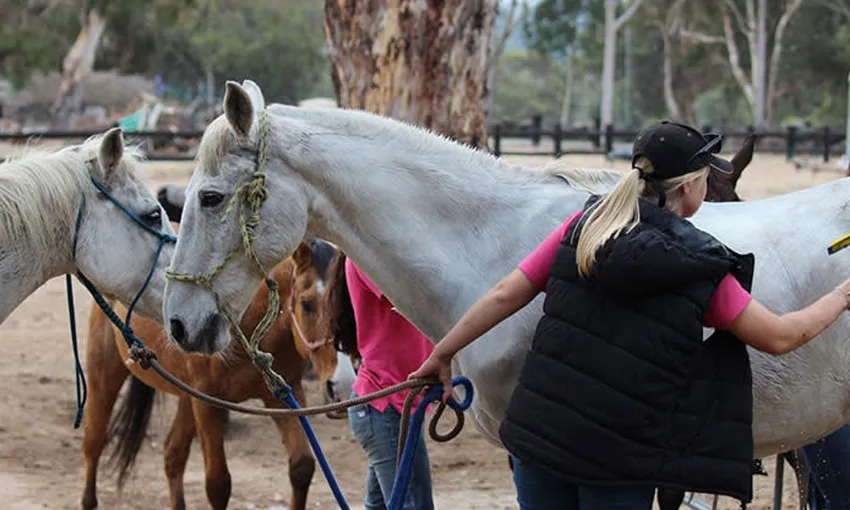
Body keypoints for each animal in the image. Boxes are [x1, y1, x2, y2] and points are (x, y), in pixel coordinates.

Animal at [80, 235, 340, 510]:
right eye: (306, 304)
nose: (337, 386)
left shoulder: (283, 395)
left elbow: (302, 466)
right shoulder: (208, 404)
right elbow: (218, 484)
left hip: (187, 395)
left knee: (173, 454)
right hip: (105, 372)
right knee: (93, 441)